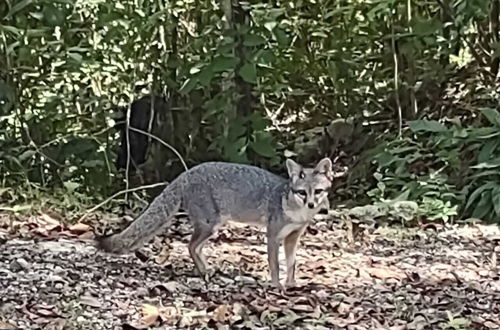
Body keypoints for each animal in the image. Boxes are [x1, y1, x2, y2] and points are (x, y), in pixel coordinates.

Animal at [97, 157, 332, 288]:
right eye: (302, 193)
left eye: (318, 191)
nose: (312, 205)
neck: (297, 212)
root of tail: (186, 173)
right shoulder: (272, 235)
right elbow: (274, 264)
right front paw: (276, 285)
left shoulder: (293, 237)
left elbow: (292, 263)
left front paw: (291, 284)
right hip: (210, 225)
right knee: (190, 246)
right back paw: (203, 271)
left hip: (213, 227)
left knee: (196, 247)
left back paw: (206, 270)